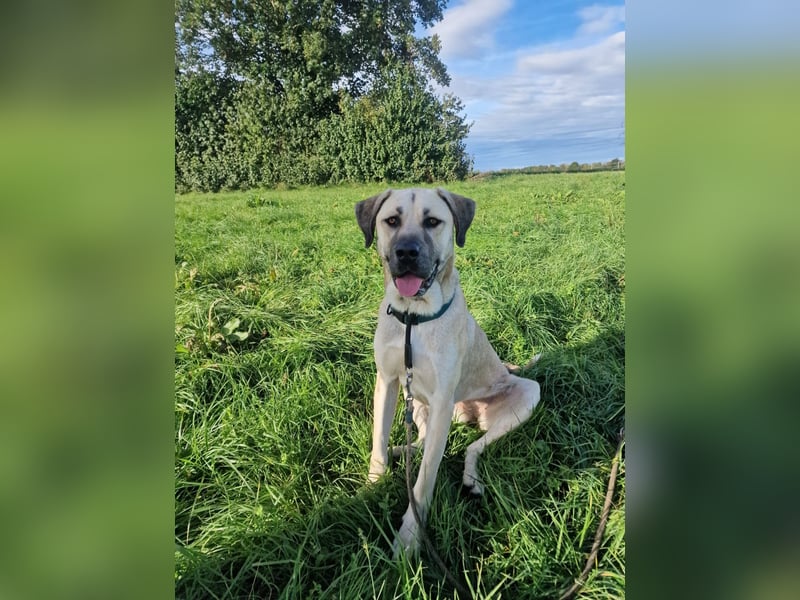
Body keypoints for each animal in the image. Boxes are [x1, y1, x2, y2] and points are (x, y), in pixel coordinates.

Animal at [355, 187, 541, 556]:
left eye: (432, 221)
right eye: (392, 220)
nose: (406, 252)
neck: (413, 318)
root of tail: (471, 414)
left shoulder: (441, 399)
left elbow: (425, 477)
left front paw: (409, 538)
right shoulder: (388, 382)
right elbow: (378, 442)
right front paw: (373, 485)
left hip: (525, 395)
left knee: (470, 448)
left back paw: (471, 480)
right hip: (418, 403)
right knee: (422, 440)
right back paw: (402, 451)